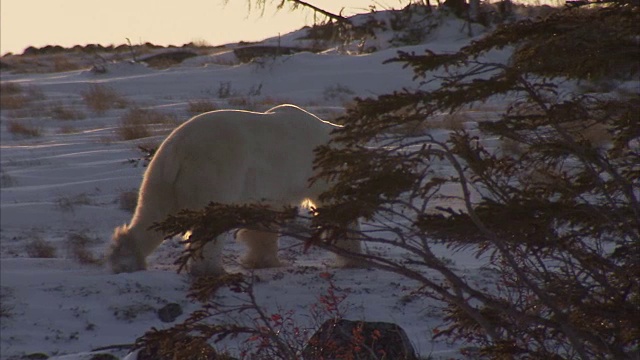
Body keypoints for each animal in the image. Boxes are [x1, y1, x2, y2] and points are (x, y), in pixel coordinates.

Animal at [107, 104, 362, 276]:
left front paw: (262, 260)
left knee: (153, 213)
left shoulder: (267, 187)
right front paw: (353, 258)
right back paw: (210, 269)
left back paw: (126, 260)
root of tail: (178, 148)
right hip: (214, 170)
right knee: (206, 225)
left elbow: (263, 219)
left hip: (160, 178)